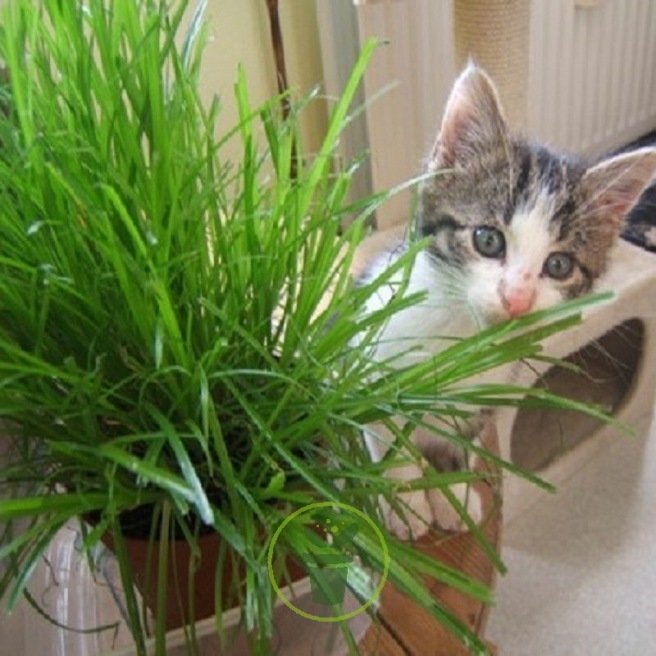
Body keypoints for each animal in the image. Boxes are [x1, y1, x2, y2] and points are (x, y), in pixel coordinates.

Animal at [362, 65, 656, 540]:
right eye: (488, 239)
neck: (463, 333)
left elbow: (459, 436)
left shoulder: (484, 398)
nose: (515, 297)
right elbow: (386, 435)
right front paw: (405, 502)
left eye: (558, 265)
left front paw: (452, 492)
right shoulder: (363, 362)